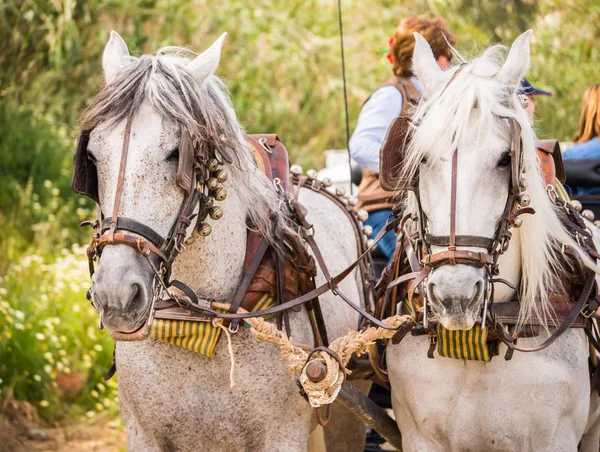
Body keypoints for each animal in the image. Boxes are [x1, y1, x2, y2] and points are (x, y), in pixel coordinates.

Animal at [79, 31, 368, 452]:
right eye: (93, 154)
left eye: (175, 154)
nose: (116, 295)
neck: (198, 319)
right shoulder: (142, 433)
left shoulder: (283, 434)